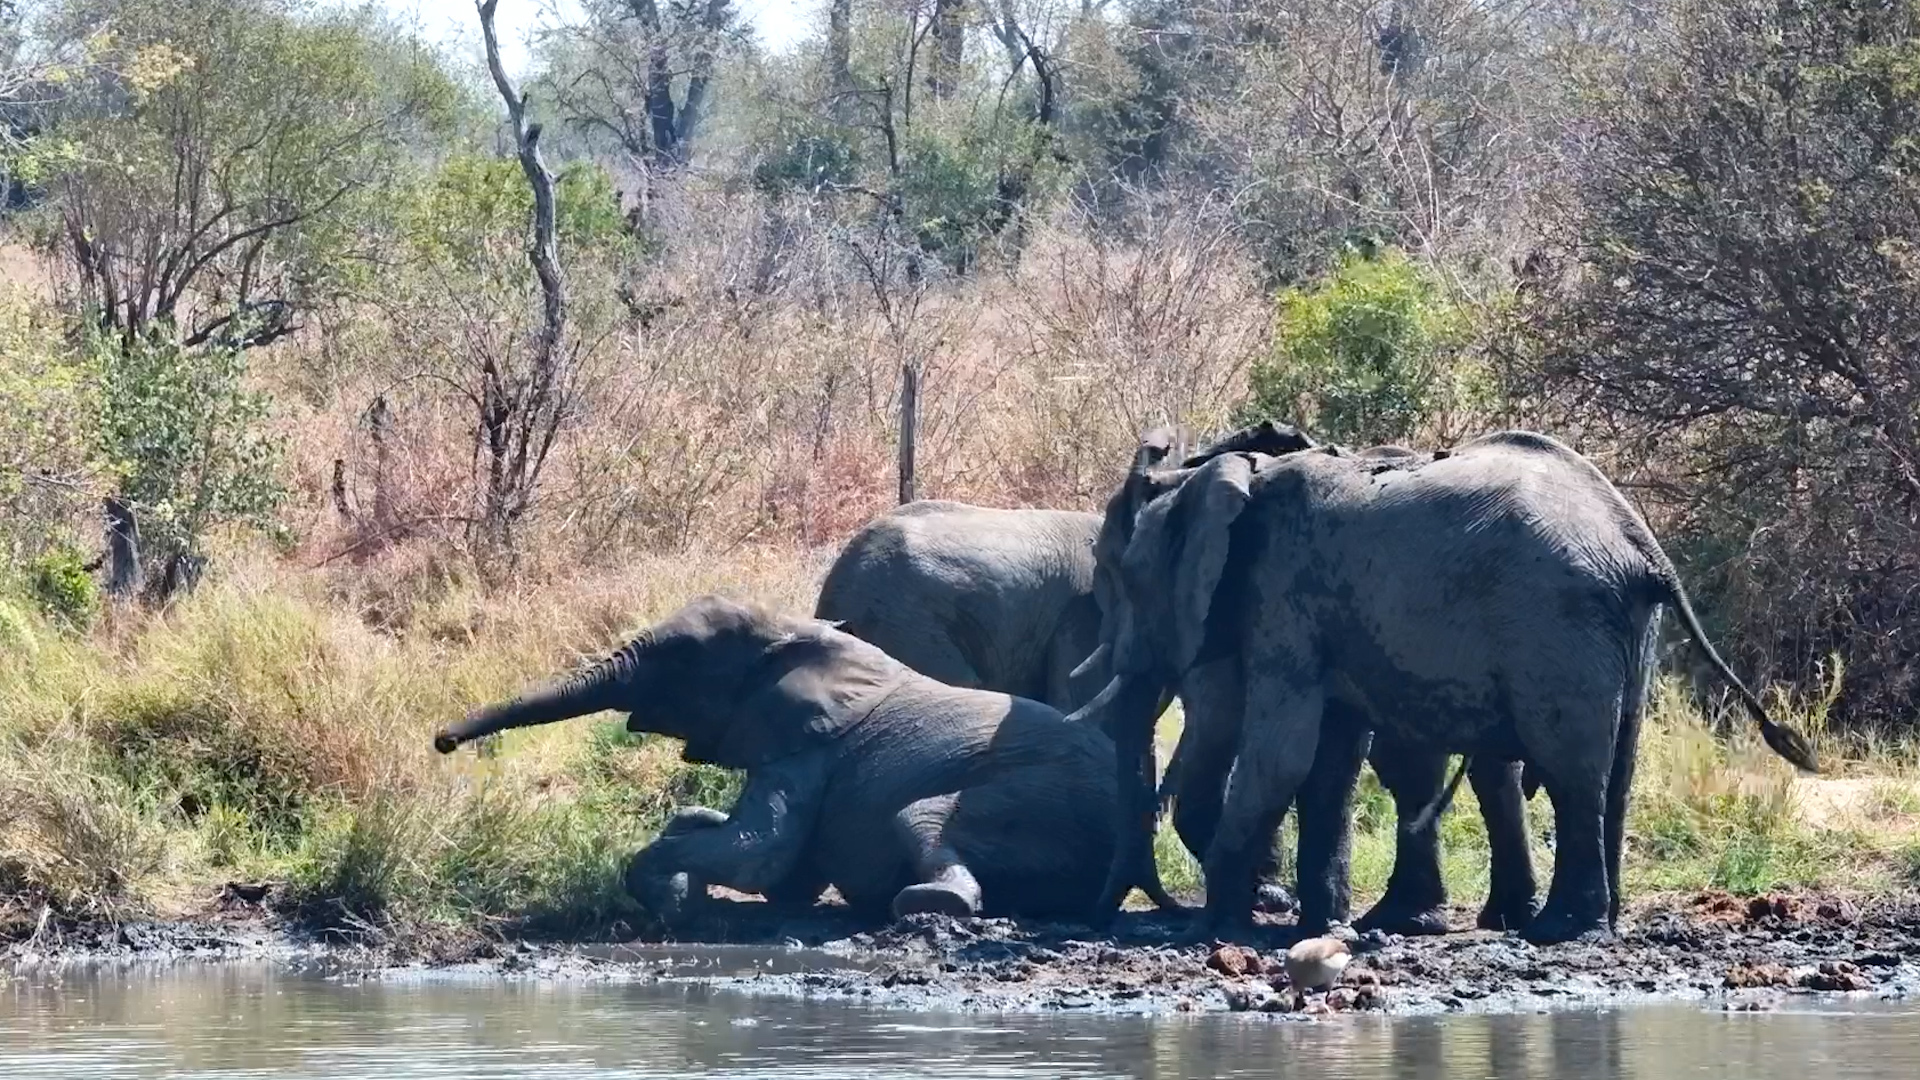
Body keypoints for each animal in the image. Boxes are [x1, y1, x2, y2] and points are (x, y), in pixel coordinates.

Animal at [431, 595, 1120, 924]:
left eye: (679, 658)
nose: (443, 741)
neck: (802, 633)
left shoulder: (808, 750)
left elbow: (760, 852)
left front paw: (674, 907)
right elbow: (742, 846)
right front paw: (683, 887)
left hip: (1036, 795)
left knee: (918, 820)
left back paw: (928, 905)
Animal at [1070, 429, 1819, 944]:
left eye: (1117, 574)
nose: (1102, 919)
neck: (1226, 475)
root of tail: (1643, 546)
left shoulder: (1286, 597)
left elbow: (1282, 754)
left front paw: (1216, 928)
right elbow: (1328, 763)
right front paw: (1319, 925)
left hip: (1558, 625)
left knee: (1571, 768)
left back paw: (1557, 931)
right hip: (1621, 630)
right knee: (1617, 772)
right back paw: (1592, 923)